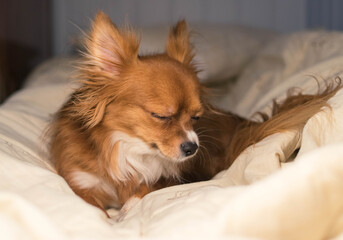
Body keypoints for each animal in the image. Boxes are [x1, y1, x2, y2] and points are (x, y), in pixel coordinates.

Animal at [49, 12, 343, 220]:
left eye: (196, 117)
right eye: (161, 116)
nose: (192, 147)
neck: (126, 145)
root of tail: (244, 125)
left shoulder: (168, 179)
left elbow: (142, 192)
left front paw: (126, 210)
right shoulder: (81, 183)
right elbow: (91, 207)